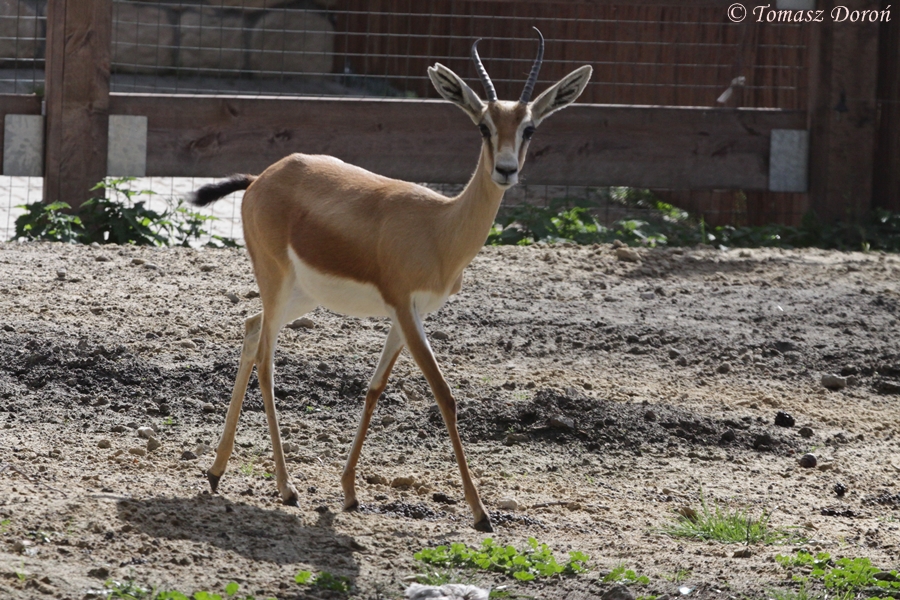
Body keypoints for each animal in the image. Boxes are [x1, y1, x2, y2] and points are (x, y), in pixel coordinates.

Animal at [190, 29, 591, 532]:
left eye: (529, 127)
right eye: (483, 125)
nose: (506, 170)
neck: (439, 228)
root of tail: (262, 176)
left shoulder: (408, 317)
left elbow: (375, 388)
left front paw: (348, 491)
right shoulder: (404, 307)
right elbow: (445, 395)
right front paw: (480, 513)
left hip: (302, 295)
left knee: (249, 329)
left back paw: (216, 471)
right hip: (276, 281)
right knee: (266, 360)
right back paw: (285, 487)